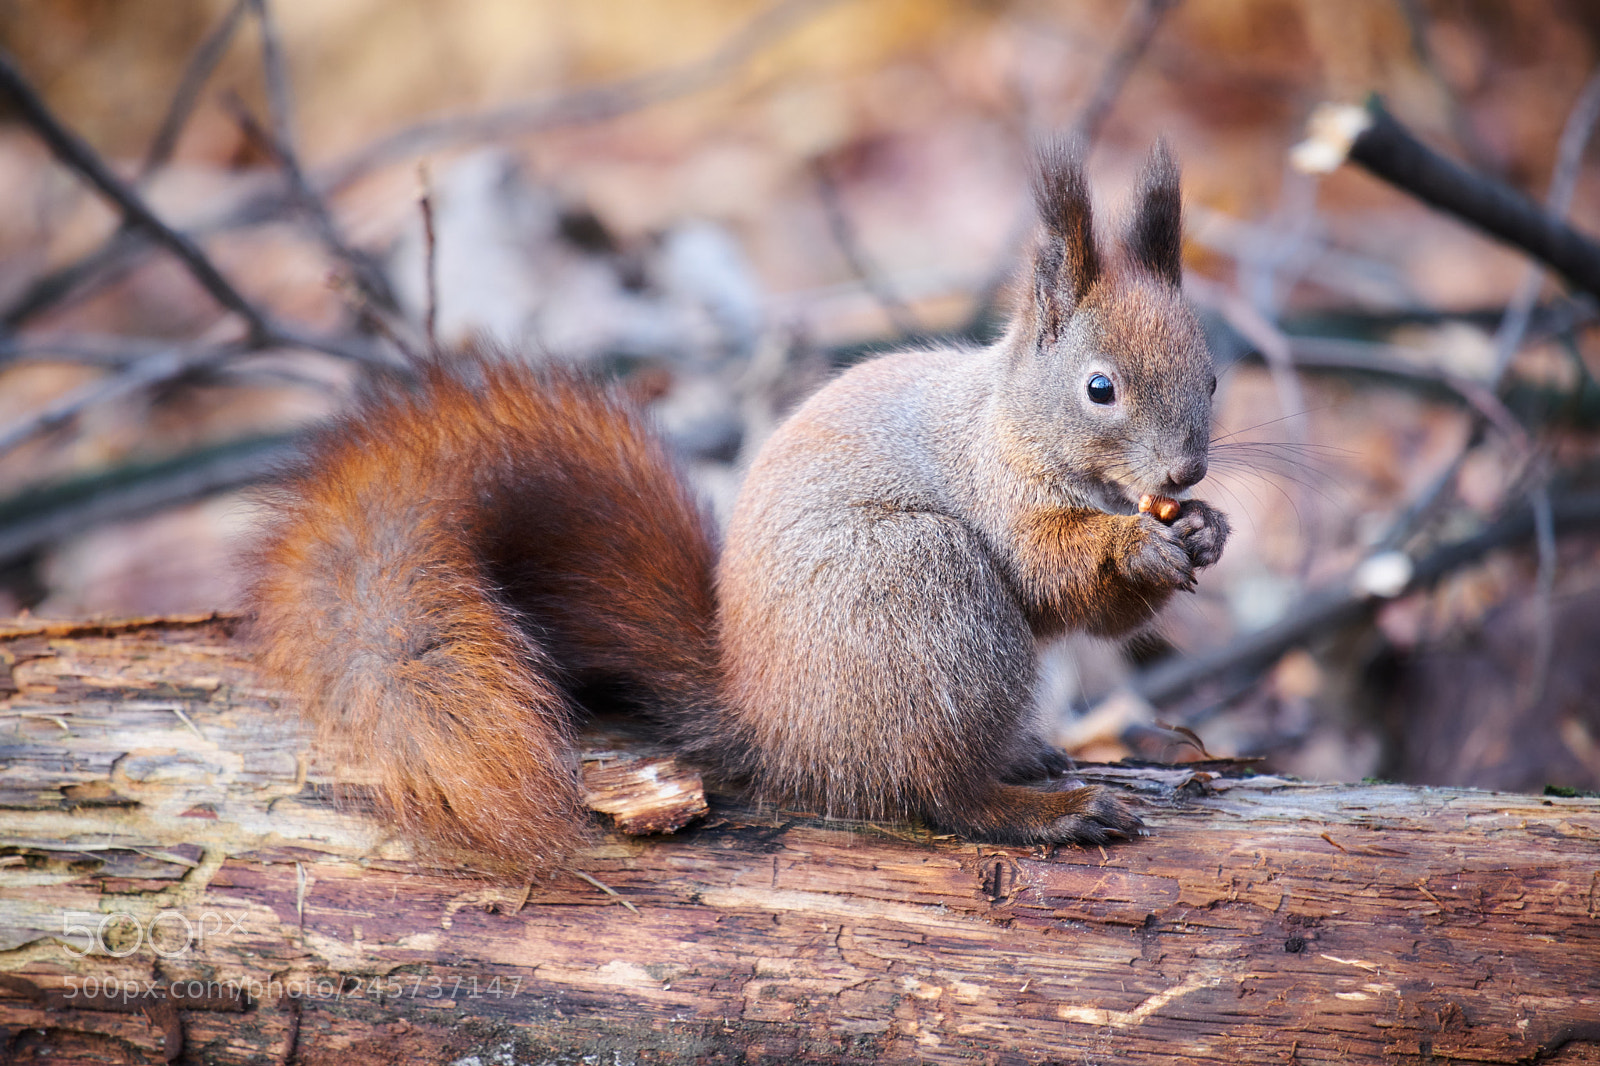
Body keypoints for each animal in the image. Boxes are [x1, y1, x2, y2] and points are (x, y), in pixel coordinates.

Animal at [248, 141, 1229, 876]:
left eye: (1214, 374)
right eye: (1099, 388)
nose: (1185, 472)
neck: (1010, 421)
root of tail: (771, 721)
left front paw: (1206, 531)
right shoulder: (999, 493)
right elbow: (1054, 575)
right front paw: (1137, 547)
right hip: (920, 594)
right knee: (935, 792)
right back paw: (1048, 807)